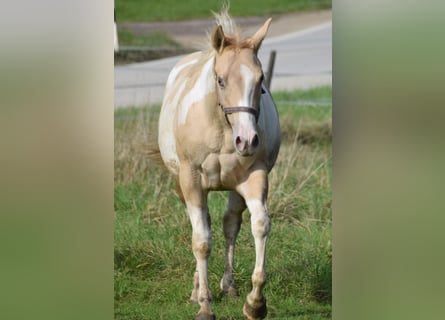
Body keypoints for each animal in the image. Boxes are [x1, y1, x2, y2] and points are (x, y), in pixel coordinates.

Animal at [158, 10, 280, 320]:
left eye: (261, 80)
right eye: (221, 80)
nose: (247, 140)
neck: (222, 130)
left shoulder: (255, 177)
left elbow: (260, 225)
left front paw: (255, 303)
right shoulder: (190, 181)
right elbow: (201, 241)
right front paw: (204, 304)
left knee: (229, 226)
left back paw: (229, 286)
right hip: (183, 185)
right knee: (203, 228)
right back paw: (197, 290)